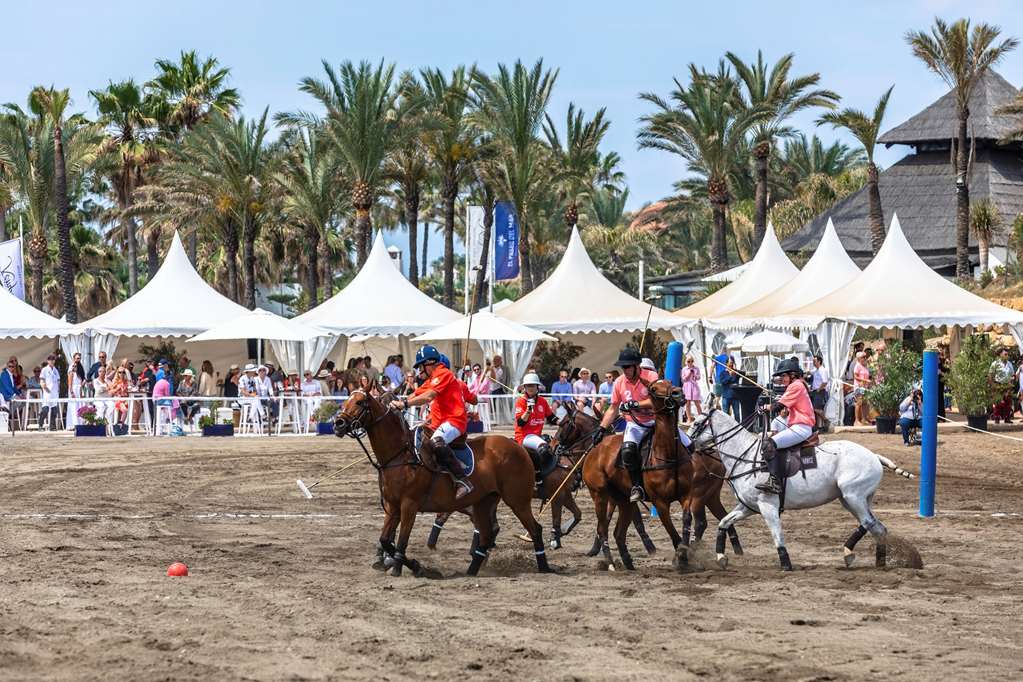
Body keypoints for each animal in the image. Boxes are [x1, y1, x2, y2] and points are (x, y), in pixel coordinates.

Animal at [333, 392, 552, 580]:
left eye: (360, 402)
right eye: (347, 400)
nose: (338, 423)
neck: (399, 456)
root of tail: (520, 447)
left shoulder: (409, 505)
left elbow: (401, 541)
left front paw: (406, 568)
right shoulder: (392, 506)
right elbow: (386, 540)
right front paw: (409, 565)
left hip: (517, 500)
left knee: (535, 529)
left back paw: (544, 567)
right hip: (484, 502)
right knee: (487, 534)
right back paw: (471, 571)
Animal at [581, 378, 740, 572]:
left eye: (670, 382)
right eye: (653, 389)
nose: (678, 393)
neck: (667, 453)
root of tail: (592, 452)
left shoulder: (687, 495)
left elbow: (686, 521)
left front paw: (684, 554)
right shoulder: (660, 502)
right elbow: (670, 528)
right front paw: (681, 556)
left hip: (624, 499)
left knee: (618, 532)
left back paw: (628, 563)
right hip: (600, 495)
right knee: (603, 528)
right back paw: (611, 563)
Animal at [687, 408, 912, 572]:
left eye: (697, 424)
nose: (688, 446)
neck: (745, 456)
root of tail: (874, 456)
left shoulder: (767, 505)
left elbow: (777, 534)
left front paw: (786, 564)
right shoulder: (749, 507)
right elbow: (724, 522)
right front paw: (720, 557)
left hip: (853, 496)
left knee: (869, 523)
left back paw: (849, 554)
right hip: (853, 499)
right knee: (877, 527)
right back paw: (879, 562)